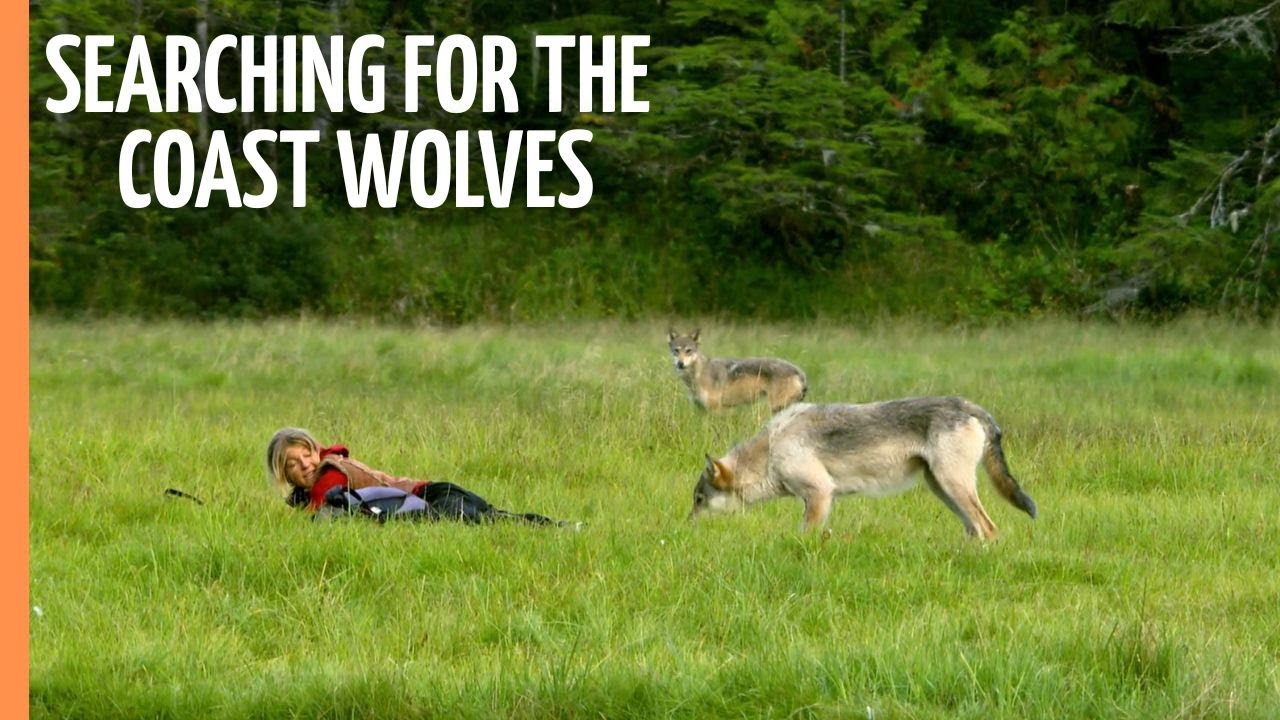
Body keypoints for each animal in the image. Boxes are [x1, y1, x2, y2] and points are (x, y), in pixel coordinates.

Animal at [667, 329, 808, 412]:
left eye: (688, 351)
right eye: (676, 351)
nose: (680, 364)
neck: (697, 375)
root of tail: (800, 372)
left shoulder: (715, 409)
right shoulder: (700, 410)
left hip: (776, 407)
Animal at [689, 396, 1037, 538]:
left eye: (699, 500)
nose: (687, 524)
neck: (771, 450)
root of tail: (975, 408)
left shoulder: (819, 493)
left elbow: (804, 536)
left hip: (952, 485)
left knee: (989, 529)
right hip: (942, 488)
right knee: (974, 529)